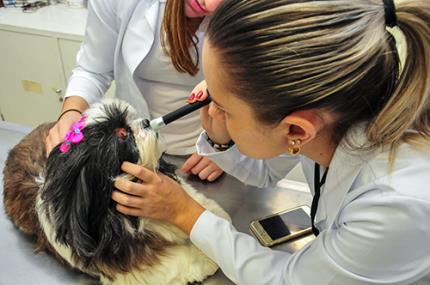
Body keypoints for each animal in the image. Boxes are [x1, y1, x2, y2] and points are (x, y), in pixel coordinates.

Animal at [2, 99, 228, 284]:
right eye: (123, 135)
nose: (146, 121)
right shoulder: (134, 267)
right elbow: (175, 264)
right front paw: (206, 255)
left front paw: (211, 213)